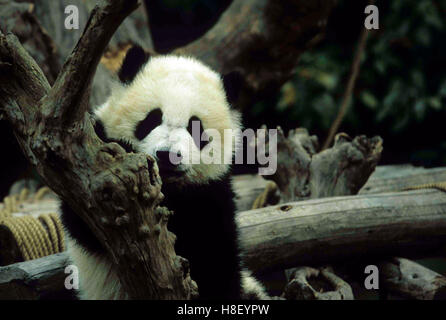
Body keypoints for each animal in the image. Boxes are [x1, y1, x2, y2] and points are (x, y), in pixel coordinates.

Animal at [61, 45, 270, 300]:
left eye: (196, 128)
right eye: (151, 119)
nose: (167, 155)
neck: (167, 189)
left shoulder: (211, 194)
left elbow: (215, 257)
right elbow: (84, 220)